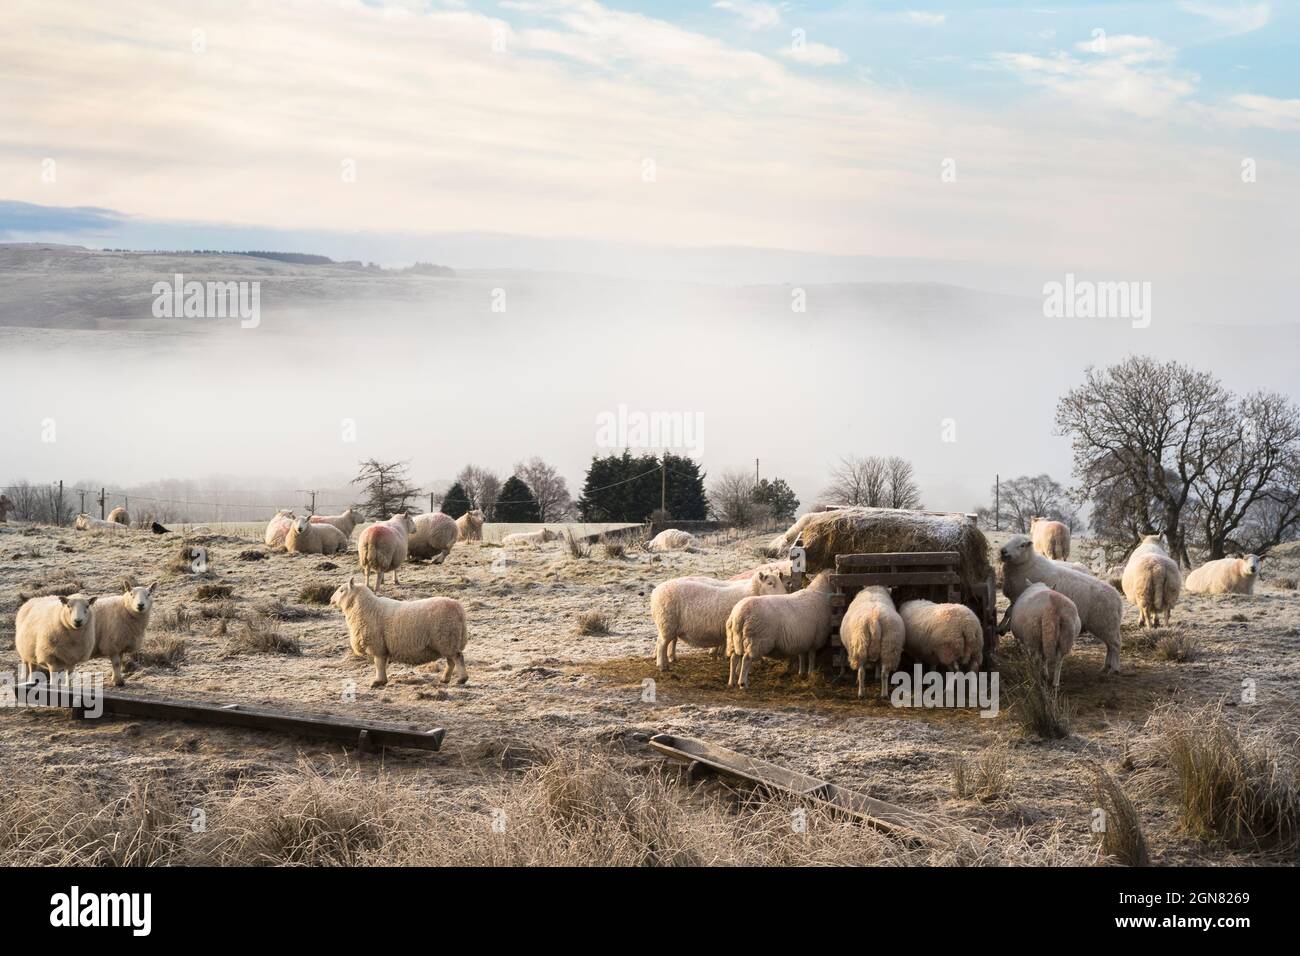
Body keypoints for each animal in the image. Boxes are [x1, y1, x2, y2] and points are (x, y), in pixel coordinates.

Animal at [332, 574, 470, 686]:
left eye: (342, 590)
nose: (331, 600)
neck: (364, 607)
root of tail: (459, 610)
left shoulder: (378, 646)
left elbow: (379, 663)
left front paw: (378, 682)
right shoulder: (381, 647)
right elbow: (381, 663)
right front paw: (381, 681)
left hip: (447, 639)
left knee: (457, 658)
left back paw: (462, 679)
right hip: (448, 642)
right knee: (451, 661)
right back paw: (445, 679)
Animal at [647, 567, 780, 671]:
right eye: (770, 583)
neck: (750, 592)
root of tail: (655, 592)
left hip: (669, 625)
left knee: (667, 642)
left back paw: (669, 659)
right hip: (667, 623)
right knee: (662, 644)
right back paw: (662, 666)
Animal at [998, 535, 1123, 676]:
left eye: (1022, 545)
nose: (1003, 551)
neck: (1027, 564)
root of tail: (1117, 597)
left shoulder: (1018, 596)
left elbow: (1010, 612)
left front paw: (1002, 628)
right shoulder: (1015, 598)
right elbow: (1008, 612)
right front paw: (1002, 628)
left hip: (1105, 624)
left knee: (1115, 645)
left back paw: (1114, 668)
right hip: (1106, 625)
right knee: (1110, 646)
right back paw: (1106, 666)